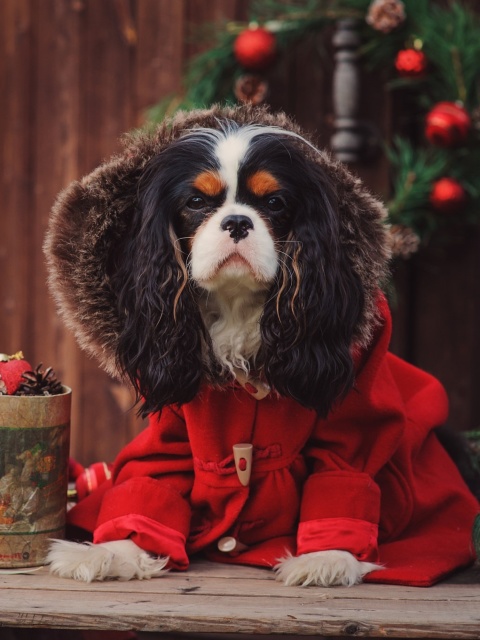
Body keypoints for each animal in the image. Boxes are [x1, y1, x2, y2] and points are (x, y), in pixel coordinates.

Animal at [43, 105, 478, 584]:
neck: (237, 306)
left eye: (274, 203)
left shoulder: (356, 413)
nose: (237, 222)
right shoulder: (173, 426)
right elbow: (152, 477)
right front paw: (115, 550)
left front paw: (327, 557)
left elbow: (345, 471)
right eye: (196, 202)